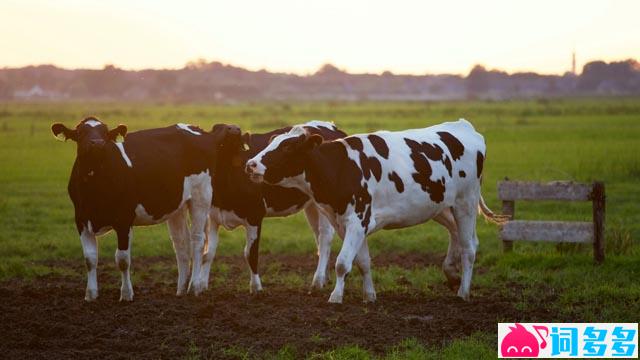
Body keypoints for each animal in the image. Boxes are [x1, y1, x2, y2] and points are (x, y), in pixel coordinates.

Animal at [49, 118, 235, 300]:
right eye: (81, 133)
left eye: (105, 133)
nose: (97, 143)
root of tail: (202, 132)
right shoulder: (81, 219)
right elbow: (90, 258)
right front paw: (91, 294)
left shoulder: (123, 220)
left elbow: (122, 259)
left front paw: (126, 294)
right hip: (177, 206)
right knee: (181, 244)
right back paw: (181, 289)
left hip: (200, 196)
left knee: (197, 241)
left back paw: (194, 287)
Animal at [196, 121, 350, 292]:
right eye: (217, 128)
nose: (234, 129)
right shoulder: (213, 217)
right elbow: (208, 253)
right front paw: (201, 285)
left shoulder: (255, 216)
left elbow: (250, 253)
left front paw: (256, 287)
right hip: (312, 205)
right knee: (318, 237)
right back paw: (325, 277)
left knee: (324, 238)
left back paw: (318, 280)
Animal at [248, 119, 508, 304]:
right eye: (272, 142)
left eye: (287, 146)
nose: (250, 164)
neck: (341, 167)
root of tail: (464, 126)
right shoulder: (348, 223)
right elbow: (362, 261)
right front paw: (369, 295)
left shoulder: (357, 220)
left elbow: (342, 263)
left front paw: (336, 297)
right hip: (440, 206)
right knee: (457, 234)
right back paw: (451, 273)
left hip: (466, 202)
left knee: (469, 247)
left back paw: (463, 291)